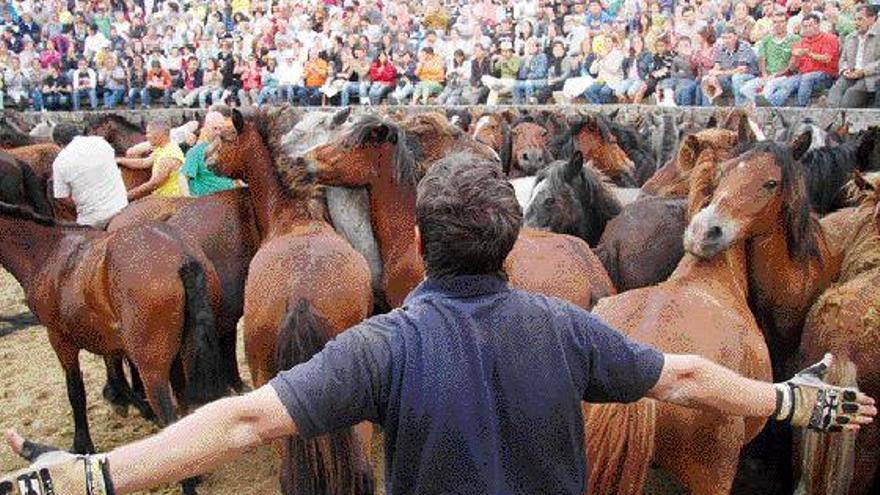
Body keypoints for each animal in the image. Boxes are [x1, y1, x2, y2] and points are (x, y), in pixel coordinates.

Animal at [0, 204, 230, 472]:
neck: (48, 252)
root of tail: (183, 255)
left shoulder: (60, 339)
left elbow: (76, 391)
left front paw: (82, 444)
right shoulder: (108, 339)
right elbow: (117, 376)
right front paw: (132, 404)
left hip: (152, 368)